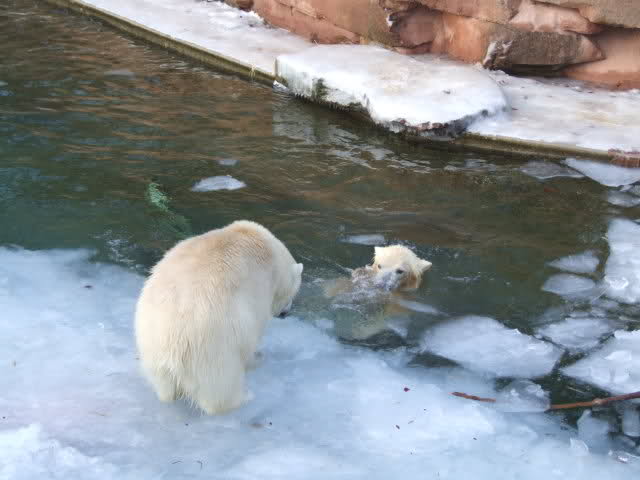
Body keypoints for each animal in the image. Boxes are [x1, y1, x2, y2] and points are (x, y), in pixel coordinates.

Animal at [135, 220, 303, 415]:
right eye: (294, 293)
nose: (286, 312)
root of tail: (173, 345)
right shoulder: (259, 290)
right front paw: (257, 358)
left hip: (151, 347)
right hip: (215, 348)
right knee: (220, 390)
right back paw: (244, 397)